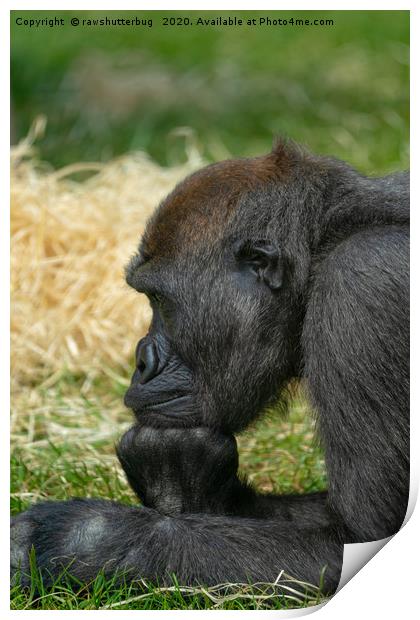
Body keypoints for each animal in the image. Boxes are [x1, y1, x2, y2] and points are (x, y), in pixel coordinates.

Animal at [11, 139, 408, 596]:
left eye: (159, 300)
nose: (141, 361)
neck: (323, 248)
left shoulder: (364, 285)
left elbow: (359, 537)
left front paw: (80, 539)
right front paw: (182, 486)